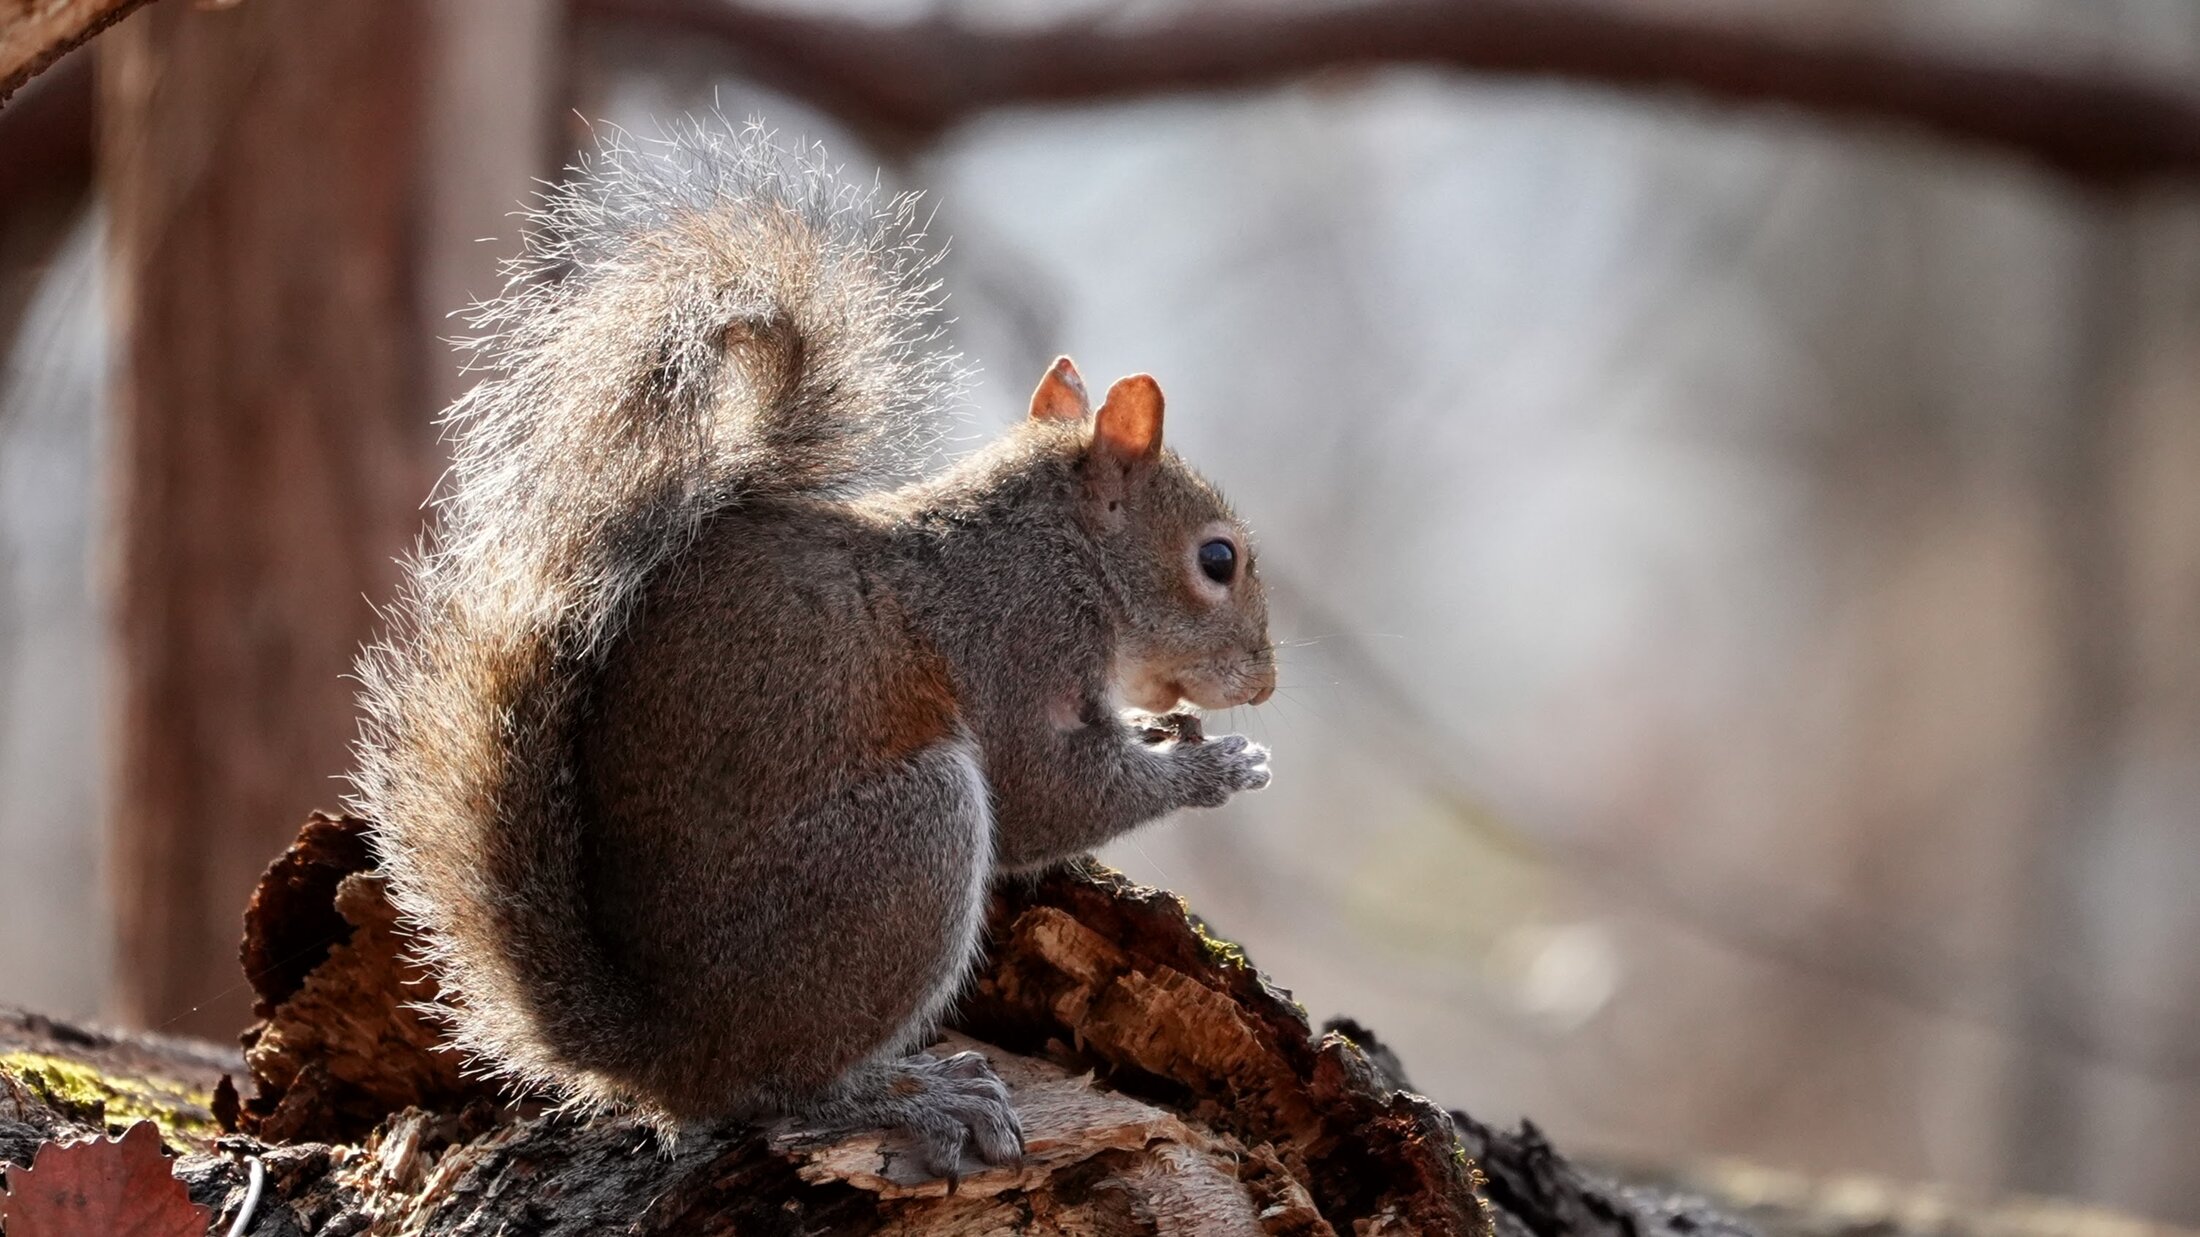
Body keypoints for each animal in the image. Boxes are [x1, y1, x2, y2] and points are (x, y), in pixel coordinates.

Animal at [348, 121, 1276, 1179]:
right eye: (1216, 559)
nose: (1267, 679)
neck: (1057, 546)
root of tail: (668, 1054)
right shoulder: (1014, 643)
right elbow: (1049, 792)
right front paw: (1216, 765)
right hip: (908, 845)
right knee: (777, 1089)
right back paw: (911, 1095)